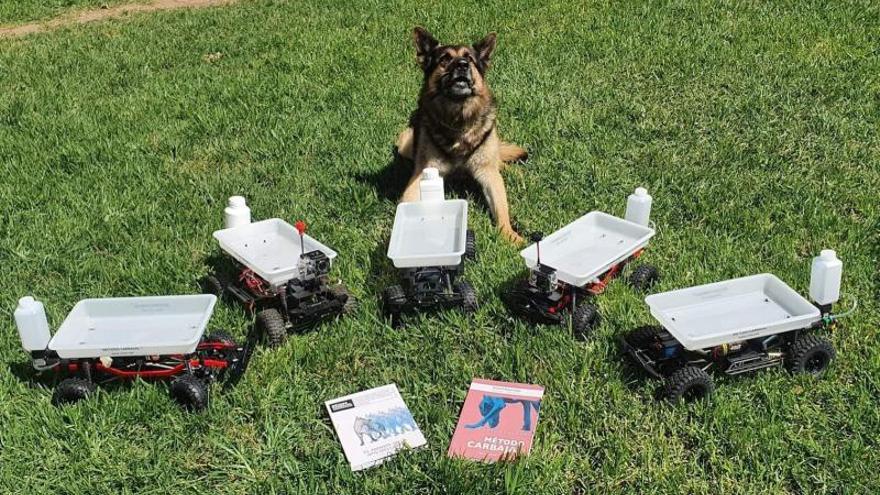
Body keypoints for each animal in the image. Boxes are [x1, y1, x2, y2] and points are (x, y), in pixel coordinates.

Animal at [398, 27, 528, 244]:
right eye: (444, 59)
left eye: (469, 59)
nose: (462, 65)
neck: (458, 119)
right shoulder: (422, 173)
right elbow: (407, 201)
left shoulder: (488, 174)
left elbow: (501, 209)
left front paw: (509, 234)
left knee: (499, 163)